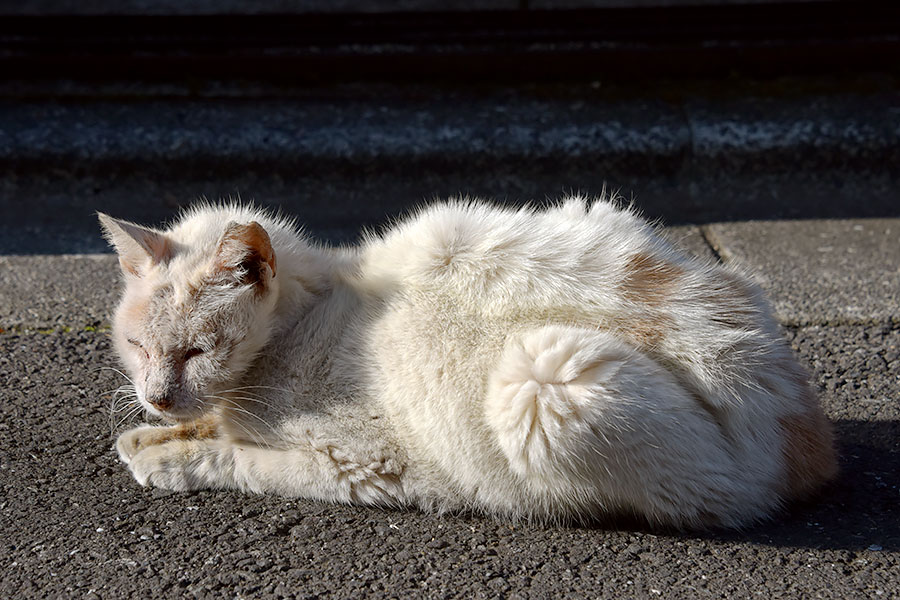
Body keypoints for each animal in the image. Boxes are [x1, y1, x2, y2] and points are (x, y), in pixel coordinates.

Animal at [100, 195, 836, 528]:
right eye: (139, 348)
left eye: (197, 351)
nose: (158, 395)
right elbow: (210, 428)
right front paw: (149, 434)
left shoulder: (363, 465)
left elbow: (237, 459)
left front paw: (166, 456)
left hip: (543, 379)